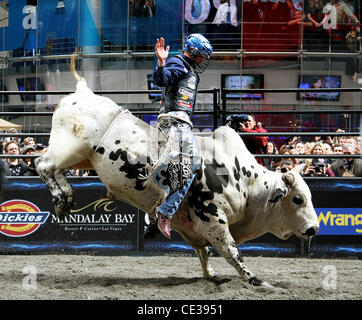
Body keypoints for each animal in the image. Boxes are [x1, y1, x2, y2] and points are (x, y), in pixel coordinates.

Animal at [35, 56, 318, 288]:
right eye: (297, 199)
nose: (314, 229)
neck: (244, 182)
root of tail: (83, 91)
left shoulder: (194, 228)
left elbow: (203, 252)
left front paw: (211, 275)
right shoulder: (212, 218)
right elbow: (231, 251)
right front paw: (256, 280)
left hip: (82, 159)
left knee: (55, 170)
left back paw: (66, 199)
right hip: (69, 147)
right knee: (42, 164)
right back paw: (62, 198)